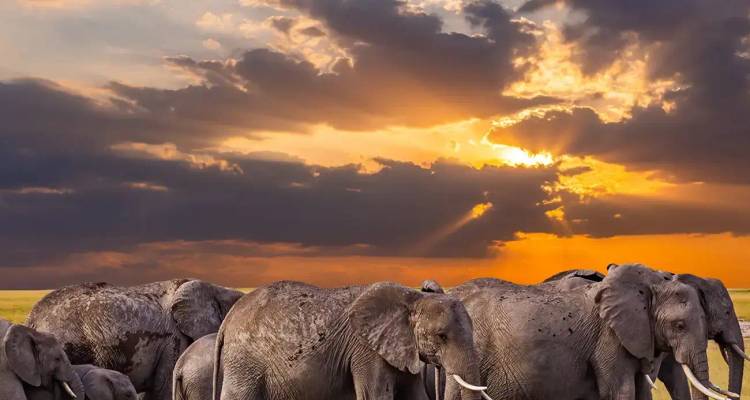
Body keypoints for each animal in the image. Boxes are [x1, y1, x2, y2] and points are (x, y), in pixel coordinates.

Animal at [214, 280, 488, 400]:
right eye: (442, 336)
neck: (413, 298)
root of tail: (227, 320)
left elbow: (415, 396)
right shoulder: (366, 351)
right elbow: (376, 396)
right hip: (244, 362)